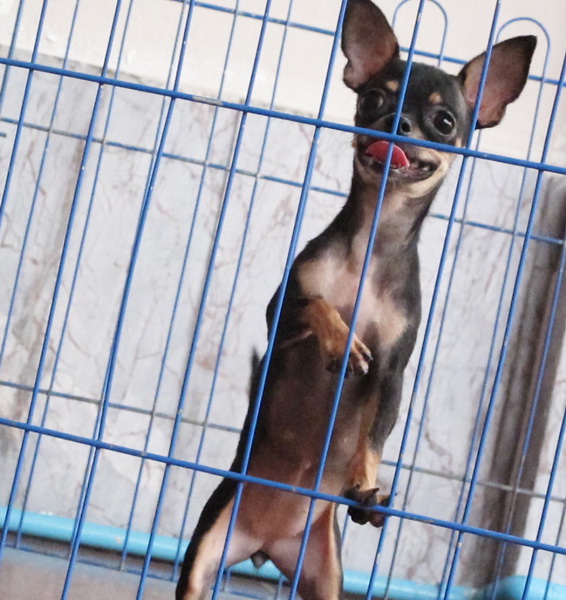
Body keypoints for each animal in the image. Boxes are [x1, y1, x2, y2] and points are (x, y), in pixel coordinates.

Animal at [176, 1, 535, 598]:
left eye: (444, 123)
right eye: (373, 100)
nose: (396, 125)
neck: (373, 243)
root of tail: (265, 545)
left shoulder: (392, 370)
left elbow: (377, 435)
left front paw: (367, 485)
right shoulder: (282, 317)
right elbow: (317, 306)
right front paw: (341, 340)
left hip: (324, 574)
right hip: (206, 553)